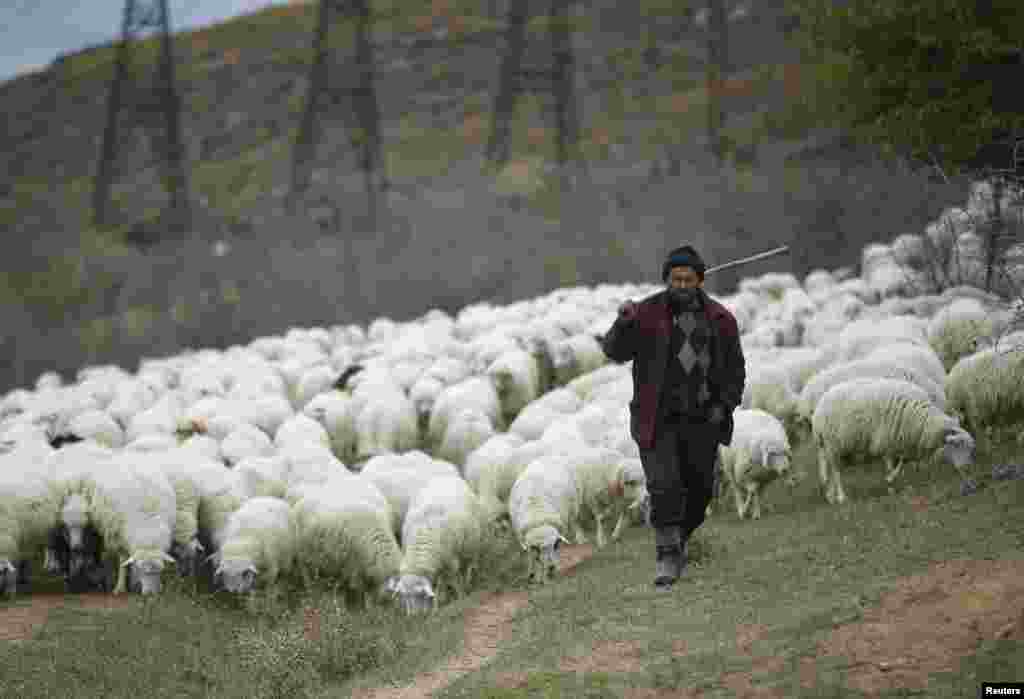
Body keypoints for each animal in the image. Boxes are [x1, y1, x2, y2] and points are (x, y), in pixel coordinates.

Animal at [806, 380, 974, 505]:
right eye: (958, 445)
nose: (967, 468)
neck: (923, 420)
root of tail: (819, 409)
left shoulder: (897, 439)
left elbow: (901, 460)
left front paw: (890, 479)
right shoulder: (886, 440)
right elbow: (892, 462)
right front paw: (890, 481)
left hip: (826, 445)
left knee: (827, 469)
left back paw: (829, 495)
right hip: (832, 442)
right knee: (836, 471)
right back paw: (841, 496)